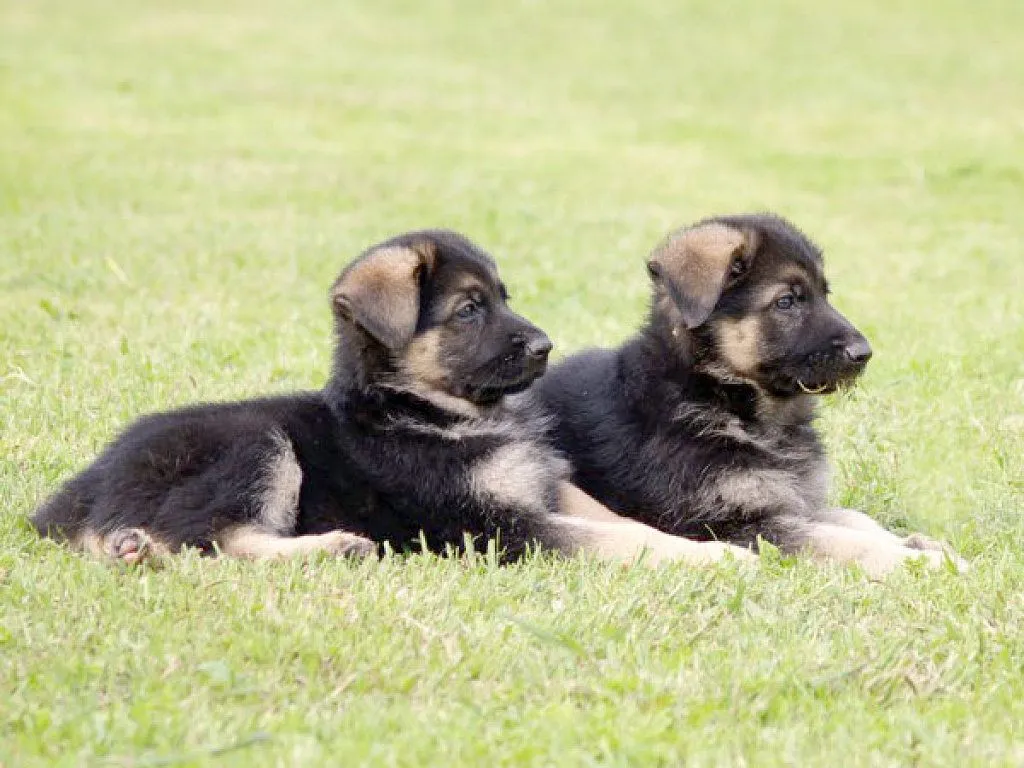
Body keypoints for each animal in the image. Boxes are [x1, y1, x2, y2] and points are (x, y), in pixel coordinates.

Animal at [32, 228, 745, 565]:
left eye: (504, 298)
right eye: (469, 310)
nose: (546, 346)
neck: (430, 413)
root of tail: (81, 492)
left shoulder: (543, 485)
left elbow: (623, 522)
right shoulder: (488, 524)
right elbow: (613, 541)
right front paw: (717, 558)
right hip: (254, 442)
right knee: (216, 538)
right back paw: (331, 549)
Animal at [540, 215, 962, 577]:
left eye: (825, 295)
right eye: (787, 301)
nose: (864, 354)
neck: (717, 394)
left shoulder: (793, 499)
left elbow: (854, 518)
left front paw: (922, 544)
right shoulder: (730, 523)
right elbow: (838, 539)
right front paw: (914, 561)